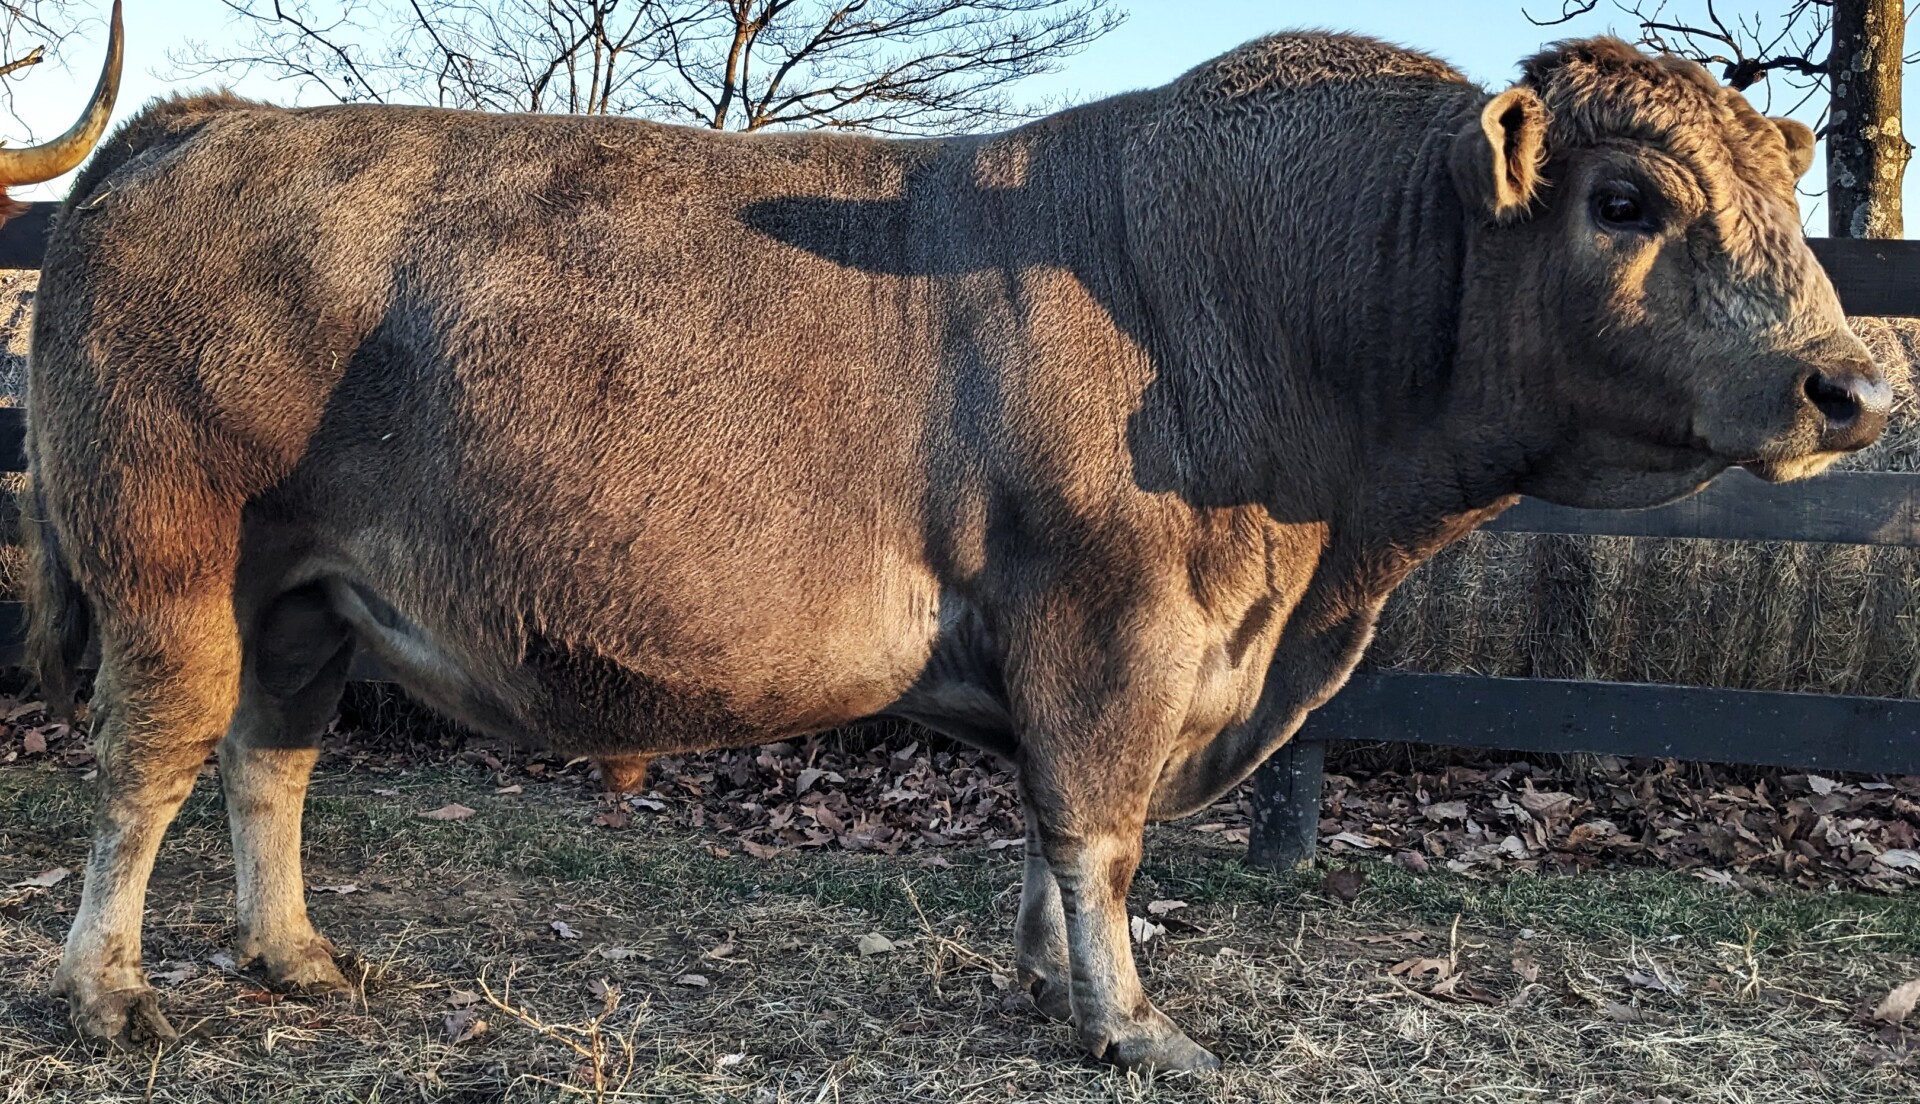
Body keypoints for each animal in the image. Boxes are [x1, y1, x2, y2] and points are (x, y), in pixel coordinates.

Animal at [21, 30, 1885, 1071]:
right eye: (1629, 199)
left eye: (1779, 200)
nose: (1855, 381)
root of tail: (209, 121)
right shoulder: (1117, 622)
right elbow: (1102, 830)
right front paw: (1132, 1021)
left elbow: (1056, 832)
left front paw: (1047, 982)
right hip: (170, 567)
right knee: (149, 763)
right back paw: (106, 992)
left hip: (307, 594)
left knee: (271, 758)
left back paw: (291, 954)